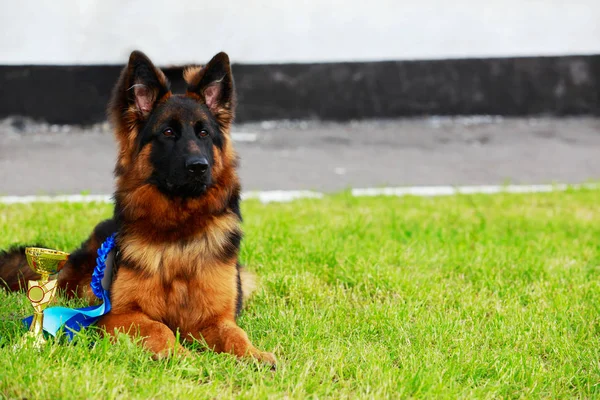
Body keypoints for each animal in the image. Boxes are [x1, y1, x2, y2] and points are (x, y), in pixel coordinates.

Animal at [0, 50, 276, 366]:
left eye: (204, 133)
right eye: (168, 132)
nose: (199, 167)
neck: (179, 233)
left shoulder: (216, 317)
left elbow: (235, 334)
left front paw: (253, 354)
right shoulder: (117, 315)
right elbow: (159, 328)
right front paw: (179, 355)